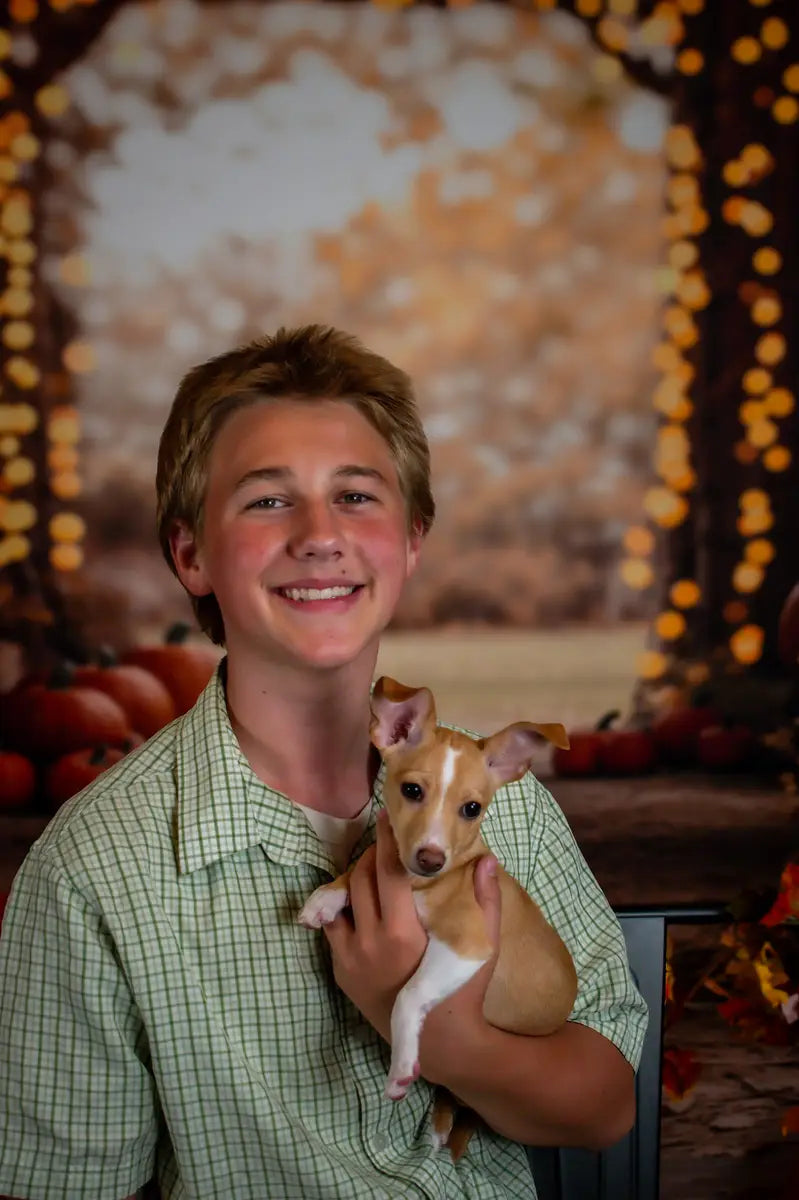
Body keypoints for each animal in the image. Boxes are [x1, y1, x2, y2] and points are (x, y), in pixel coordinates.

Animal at [295, 681, 575, 1118]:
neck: (419, 885)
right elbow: (360, 867)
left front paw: (401, 1067)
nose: (430, 859)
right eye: (412, 790)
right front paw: (325, 897)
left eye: (472, 809)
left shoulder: (466, 946)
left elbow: (408, 995)